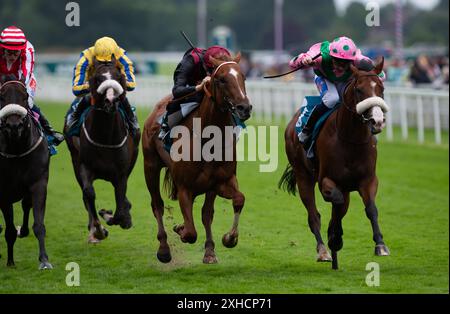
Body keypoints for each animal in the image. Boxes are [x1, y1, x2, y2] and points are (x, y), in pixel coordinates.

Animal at [0, 75, 52, 268]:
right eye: (1, 97)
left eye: (25, 96)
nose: (14, 126)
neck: (17, 149)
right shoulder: (4, 192)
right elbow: (8, 230)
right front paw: (10, 262)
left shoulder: (38, 183)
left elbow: (39, 224)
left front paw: (44, 260)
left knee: (25, 205)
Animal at [63, 60, 141, 244]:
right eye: (97, 79)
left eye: (119, 77)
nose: (111, 100)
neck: (106, 137)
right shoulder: (84, 166)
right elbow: (89, 194)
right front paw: (98, 230)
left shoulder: (121, 173)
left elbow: (120, 208)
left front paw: (117, 215)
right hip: (74, 160)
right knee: (85, 195)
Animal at [142, 52, 251, 264]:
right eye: (221, 79)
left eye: (243, 76)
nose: (245, 108)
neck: (207, 139)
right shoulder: (185, 187)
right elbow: (191, 232)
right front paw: (180, 230)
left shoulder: (221, 182)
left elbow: (238, 200)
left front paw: (228, 238)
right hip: (150, 166)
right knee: (157, 205)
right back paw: (164, 249)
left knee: (205, 213)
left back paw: (209, 250)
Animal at [282, 59, 390, 270]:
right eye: (359, 90)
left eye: (381, 88)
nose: (377, 121)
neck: (351, 140)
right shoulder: (327, 181)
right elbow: (336, 204)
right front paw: (335, 237)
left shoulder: (368, 180)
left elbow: (371, 209)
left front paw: (380, 245)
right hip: (303, 176)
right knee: (314, 216)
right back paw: (324, 251)